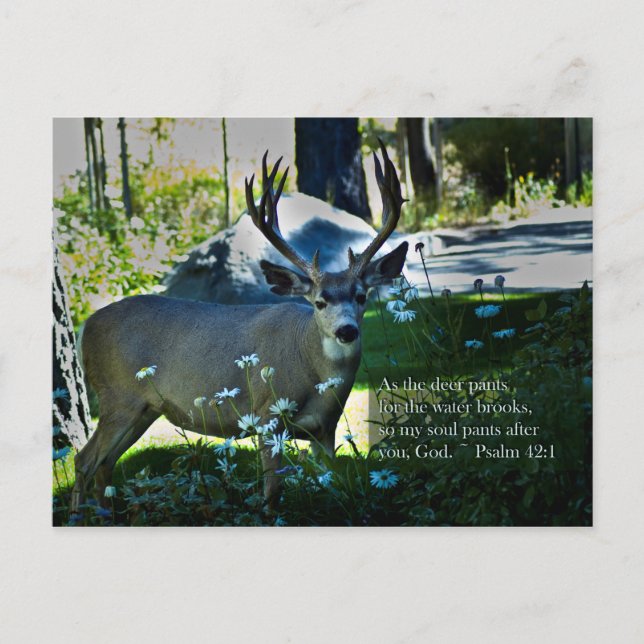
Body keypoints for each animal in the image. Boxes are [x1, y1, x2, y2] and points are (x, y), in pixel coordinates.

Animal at [71, 142, 408, 514]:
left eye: (362, 296)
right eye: (319, 302)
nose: (346, 331)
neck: (311, 365)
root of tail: (84, 327)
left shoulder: (326, 429)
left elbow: (333, 485)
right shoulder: (267, 415)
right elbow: (272, 492)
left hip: (143, 409)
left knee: (104, 464)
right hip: (118, 396)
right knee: (84, 460)